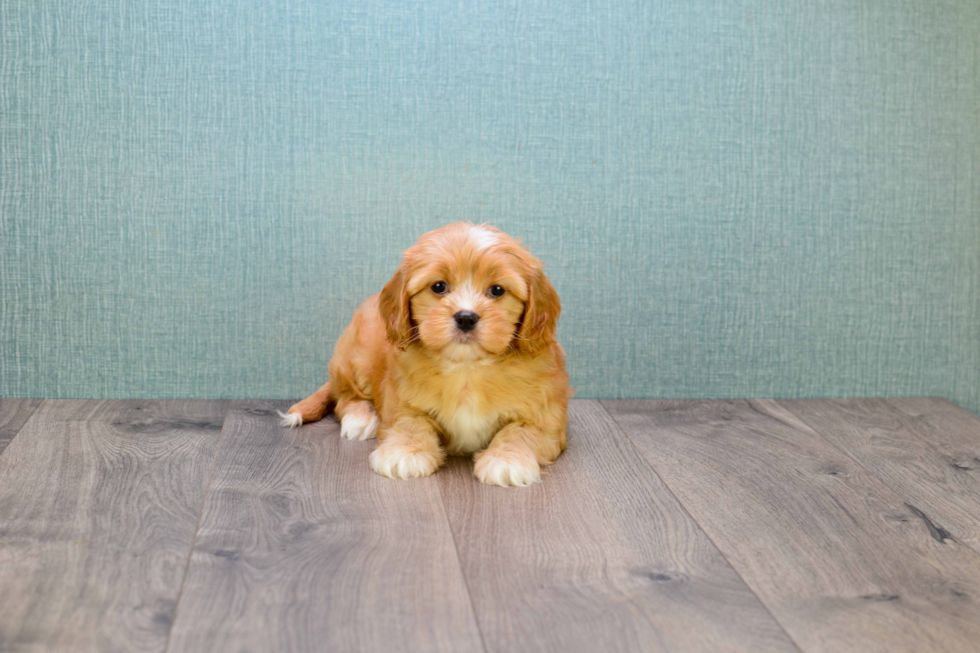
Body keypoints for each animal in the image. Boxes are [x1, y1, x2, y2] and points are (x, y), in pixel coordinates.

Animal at [280, 224, 572, 484]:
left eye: (497, 290)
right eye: (439, 287)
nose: (466, 317)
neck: (467, 369)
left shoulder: (545, 416)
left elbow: (521, 432)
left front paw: (507, 460)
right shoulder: (402, 401)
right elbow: (410, 424)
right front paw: (404, 453)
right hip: (355, 356)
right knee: (345, 395)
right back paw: (360, 417)